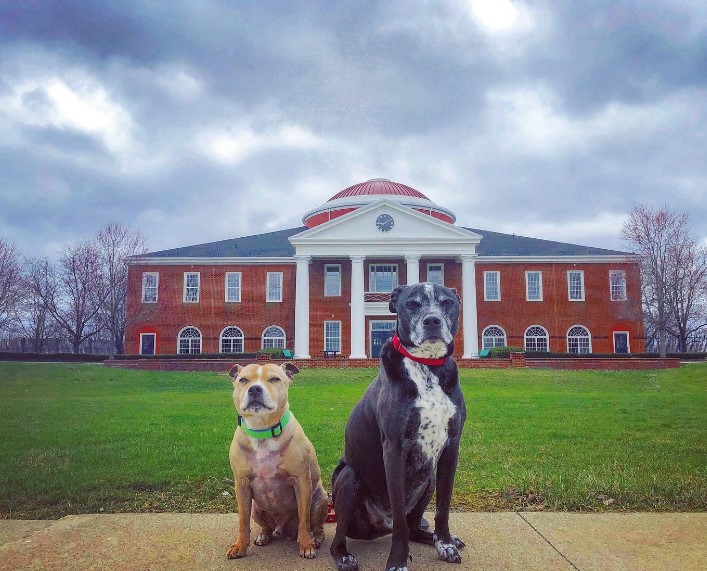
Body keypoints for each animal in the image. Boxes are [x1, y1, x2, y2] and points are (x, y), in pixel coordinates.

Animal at [227, 364, 330, 560]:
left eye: (275, 379)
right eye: (243, 380)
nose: (255, 389)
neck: (262, 431)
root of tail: (283, 530)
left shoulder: (301, 481)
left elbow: (304, 519)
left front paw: (306, 545)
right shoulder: (242, 484)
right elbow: (243, 521)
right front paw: (240, 546)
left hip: (319, 500)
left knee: (317, 527)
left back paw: (315, 539)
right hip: (256, 508)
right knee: (266, 526)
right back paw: (263, 536)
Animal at [334, 282, 470, 571]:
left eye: (446, 302)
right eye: (412, 303)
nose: (432, 321)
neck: (427, 366)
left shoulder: (452, 447)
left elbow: (443, 507)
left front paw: (445, 543)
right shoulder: (395, 448)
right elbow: (399, 520)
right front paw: (397, 560)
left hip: (428, 478)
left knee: (414, 526)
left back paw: (435, 538)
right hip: (348, 478)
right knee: (340, 536)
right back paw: (343, 556)